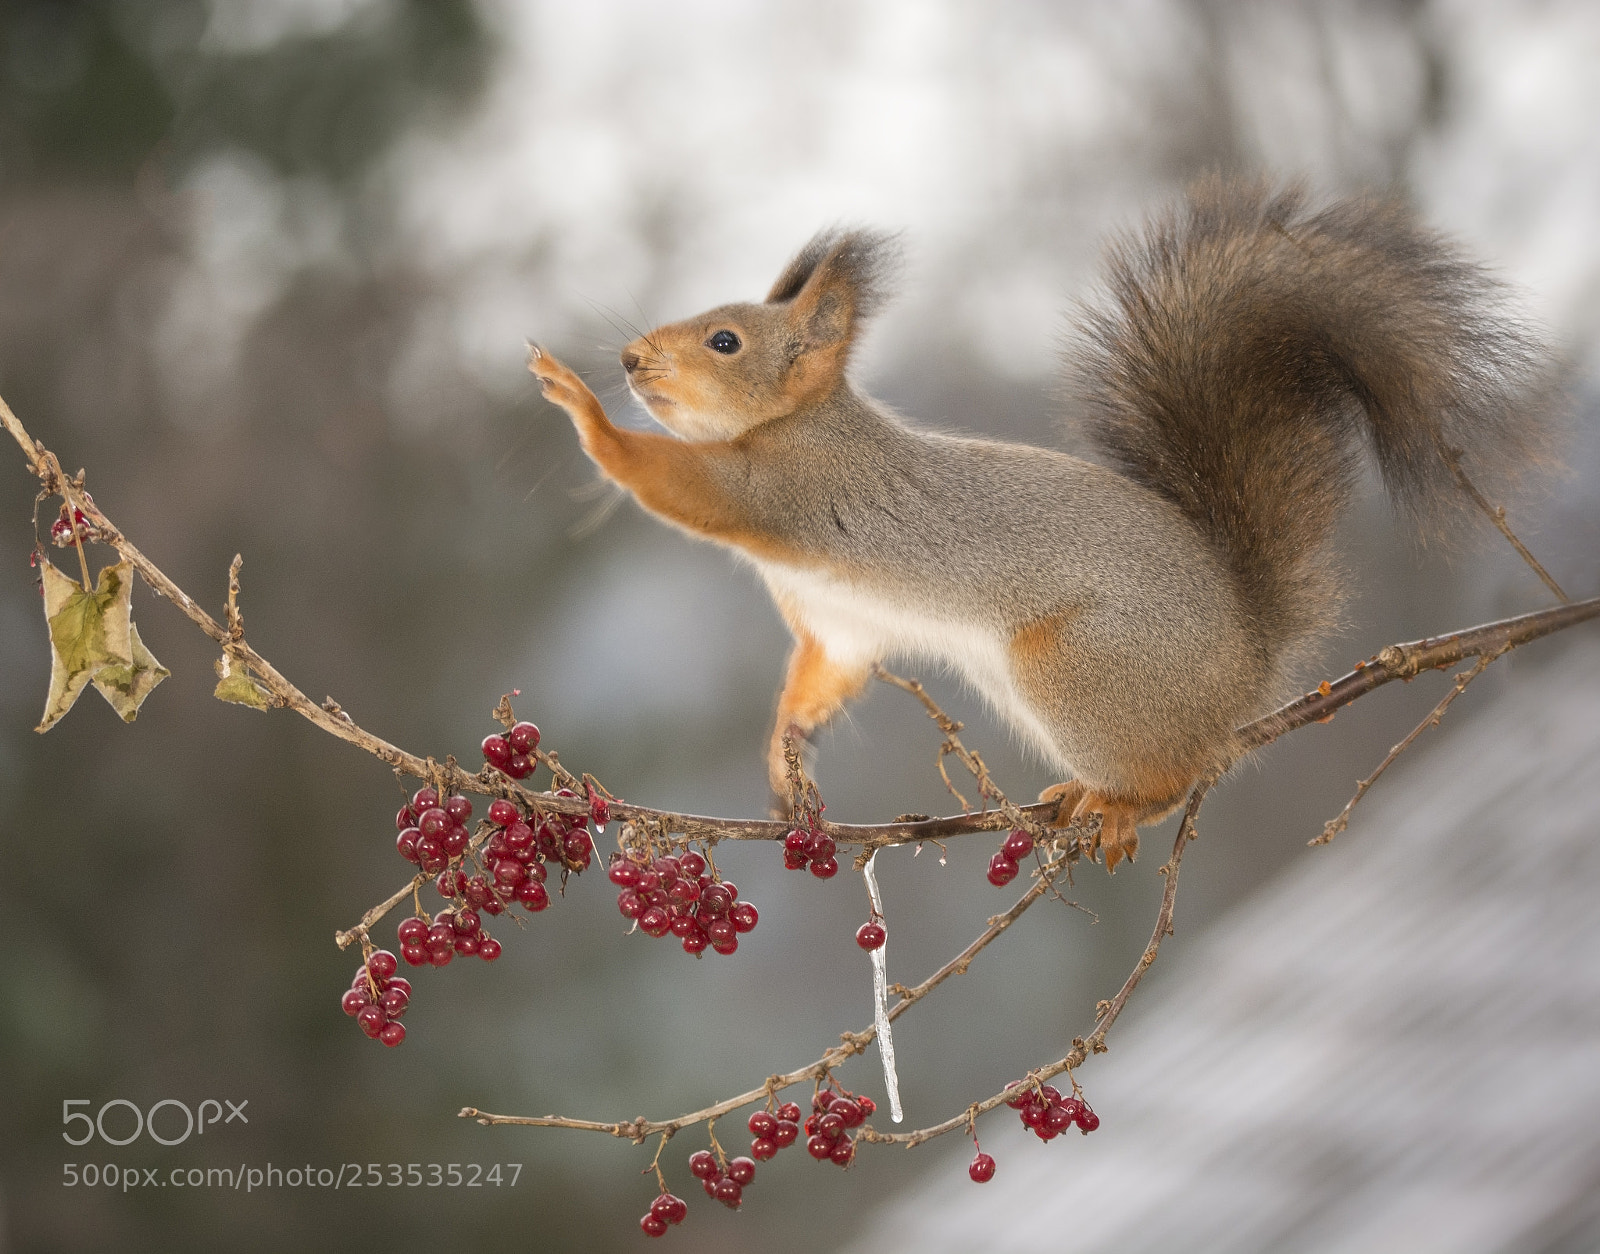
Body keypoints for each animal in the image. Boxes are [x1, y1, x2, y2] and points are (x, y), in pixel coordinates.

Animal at [527, 176, 1554, 871]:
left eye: (726, 341)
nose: (629, 360)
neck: (797, 424)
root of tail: (1246, 663)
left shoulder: (780, 492)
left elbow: (667, 480)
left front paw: (582, 409)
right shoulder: (839, 624)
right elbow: (819, 680)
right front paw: (786, 754)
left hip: (1072, 670)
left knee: (1180, 774)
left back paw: (1123, 805)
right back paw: (1086, 794)